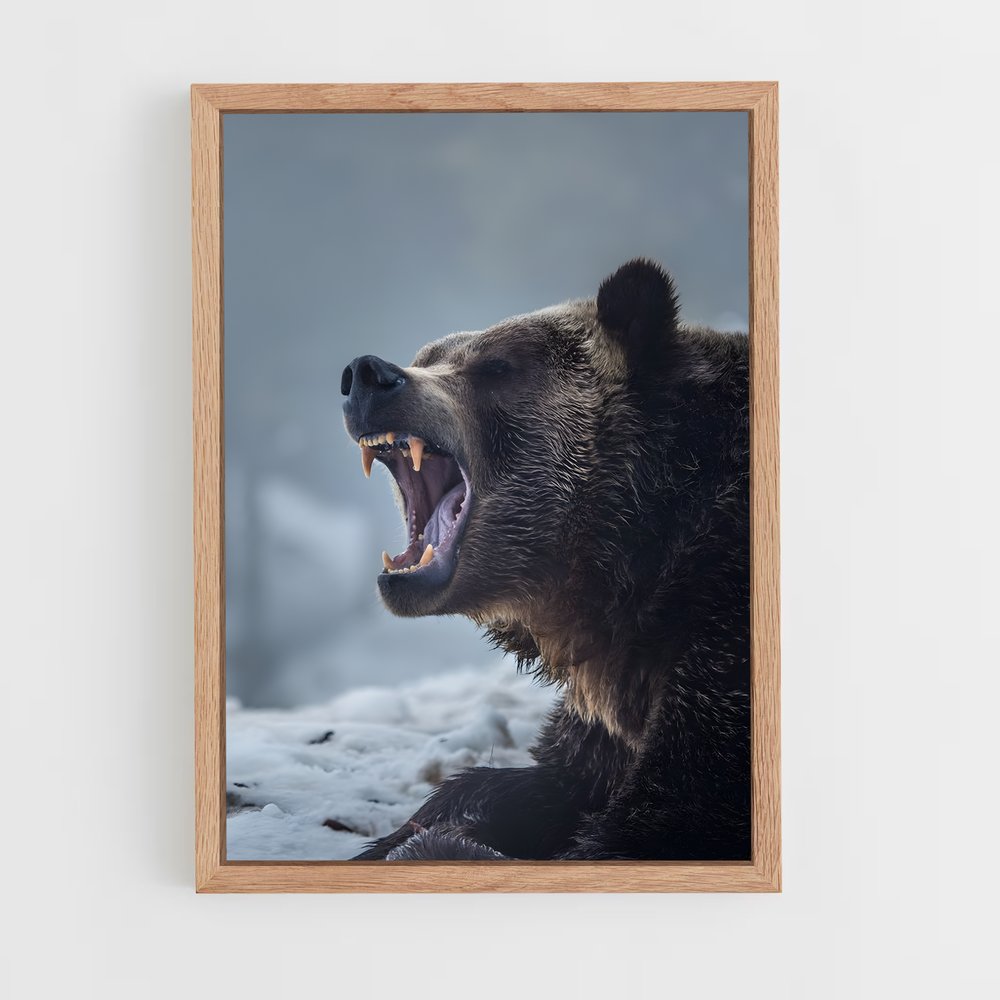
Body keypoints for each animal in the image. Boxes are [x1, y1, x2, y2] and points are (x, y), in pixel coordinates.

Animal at [340, 258, 750, 860]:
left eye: (496, 365)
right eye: (428, 355)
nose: (367, 374)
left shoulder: (719, 637)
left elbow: (657, 816)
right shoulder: (605, 710)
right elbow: (539, 781)